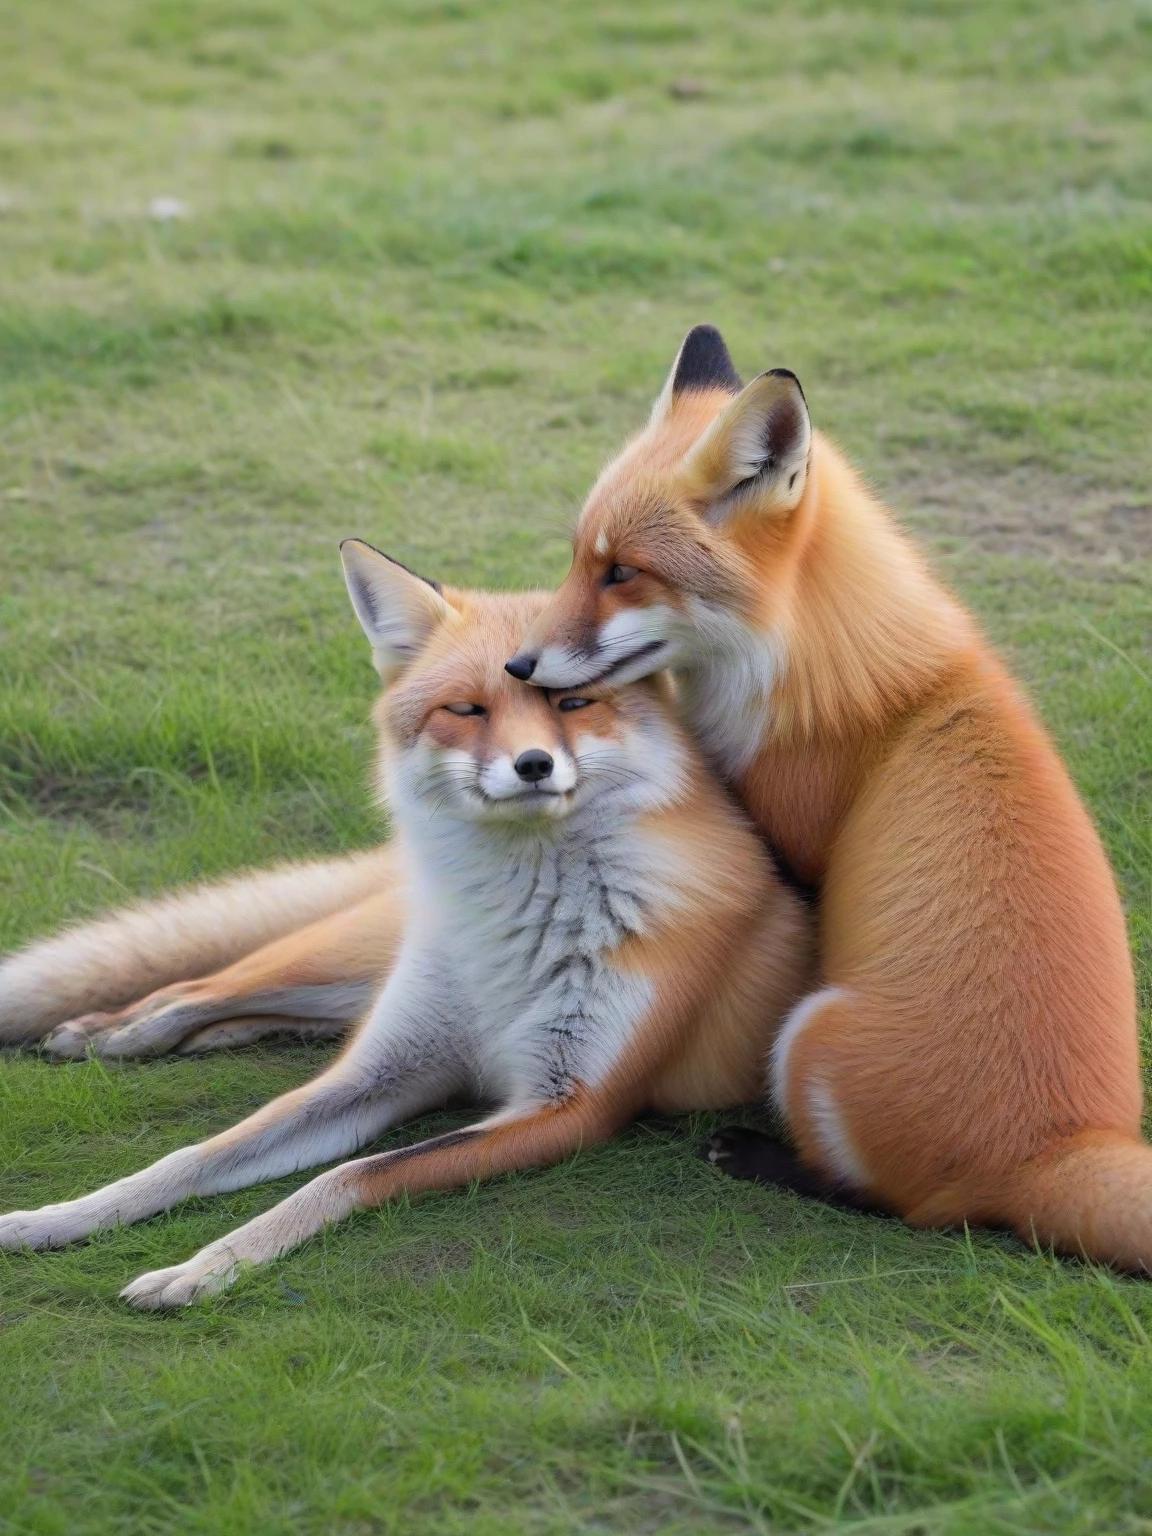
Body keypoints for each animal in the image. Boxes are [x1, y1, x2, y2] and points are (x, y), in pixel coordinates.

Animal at [0, 541, 811, 1305]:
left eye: (572, 704)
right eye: (469, 710)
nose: (534, 764)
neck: (510, 930)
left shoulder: (569, 1107)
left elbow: (347, 1174)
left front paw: (206, 1268)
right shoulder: (387, 1070)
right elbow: (194, 1156)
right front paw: (61, 1217)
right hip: (337, 966)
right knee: (195, 990)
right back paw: (110, 1033)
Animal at [506, 324, 1147, 1272]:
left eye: (623, 572)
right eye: (579, 560)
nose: (518, 666)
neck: (825, 673)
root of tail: (1063, 1149)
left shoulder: (793, 843)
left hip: (809, 1037)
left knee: (901, 1208)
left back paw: (761, 1156)